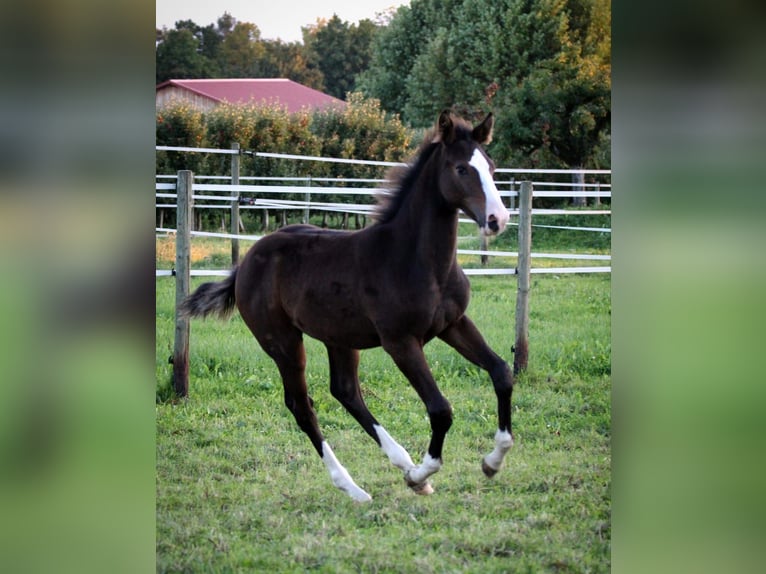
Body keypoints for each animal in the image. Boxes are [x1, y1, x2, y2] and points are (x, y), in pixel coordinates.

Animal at [180, 110, 514, 502]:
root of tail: (245, 263)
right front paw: (422, 474)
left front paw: (492, 461)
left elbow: (502, 373)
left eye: (491, 167)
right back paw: (355, 486)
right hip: (282, 342)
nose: (497, 219)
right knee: (302, 406)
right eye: (461, 168)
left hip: (339, 337)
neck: (416, 259)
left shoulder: (454, 323)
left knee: (345, 391)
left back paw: (399, 462)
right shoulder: (400, 342)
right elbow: (440, 409)